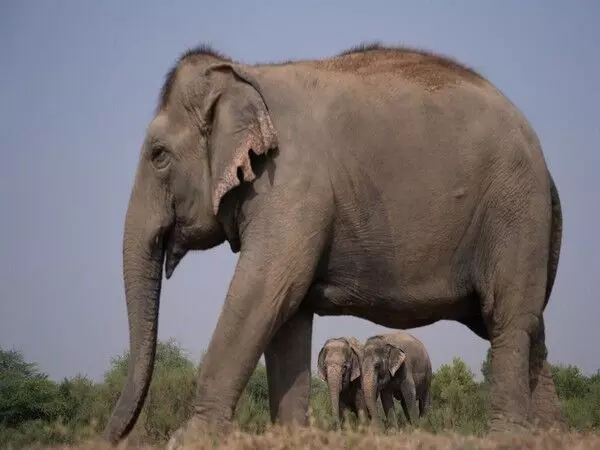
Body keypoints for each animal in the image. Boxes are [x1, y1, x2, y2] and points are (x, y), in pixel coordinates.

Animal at [101, 42, 564, 446]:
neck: (245, 75)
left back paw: (507, 438)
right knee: (531, 330)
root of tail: (545, 164)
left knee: (507, 320)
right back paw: (547, 436)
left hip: (515, 213)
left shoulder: (291, 186)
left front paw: (188, 440)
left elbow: (263, 292)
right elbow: (286, 312)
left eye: (158, 155)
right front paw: (290, 437)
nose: (109, 436)